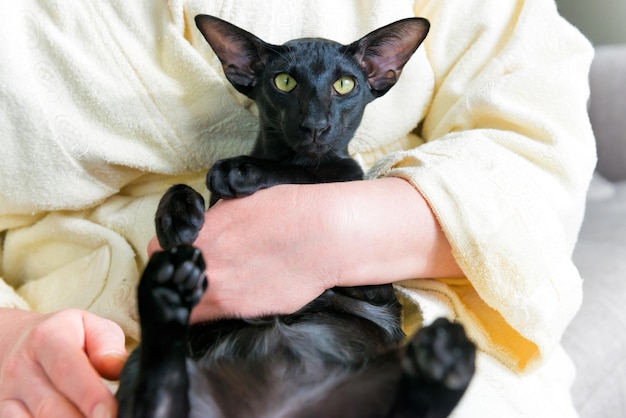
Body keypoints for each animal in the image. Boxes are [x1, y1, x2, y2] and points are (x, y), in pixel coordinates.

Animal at [116, 14, 472, 416]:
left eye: (344, 85)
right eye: (284, 82)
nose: (315, 126)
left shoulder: (371, 287)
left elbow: (306, 175)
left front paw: (240, 170)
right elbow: (187, 189)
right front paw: (177, 217)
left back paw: (444, 360)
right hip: (144, 363)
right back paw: (168, 292)